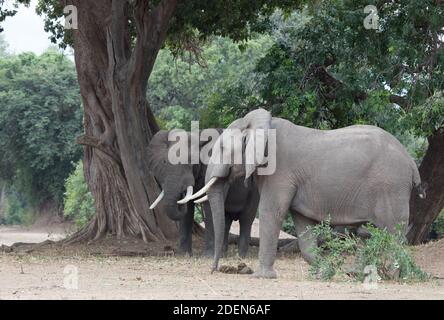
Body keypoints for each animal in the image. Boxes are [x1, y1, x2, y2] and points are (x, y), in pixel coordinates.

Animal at [187, 108, 424, 278]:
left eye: (222, 149)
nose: (214, 269)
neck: (260, 124)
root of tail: (411, 163)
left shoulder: (280, 172)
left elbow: (271, 211)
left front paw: (260, 276)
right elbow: (303, 224)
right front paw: (323, 271)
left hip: (391, 186)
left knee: (393, 231)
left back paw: (392, 275)